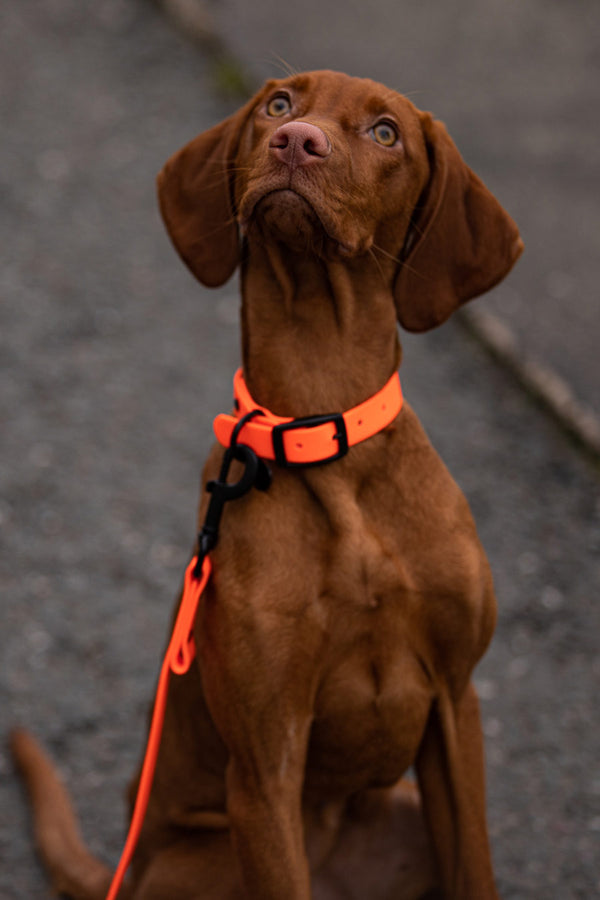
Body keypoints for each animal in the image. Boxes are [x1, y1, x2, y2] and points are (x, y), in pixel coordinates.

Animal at [11, 67, 524, 896]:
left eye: (386, 132)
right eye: (280, 104)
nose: (295, 141)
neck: (325, 421)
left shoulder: (456, 705)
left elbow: (475, 868)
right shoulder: (265, 762)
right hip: (208, 860)